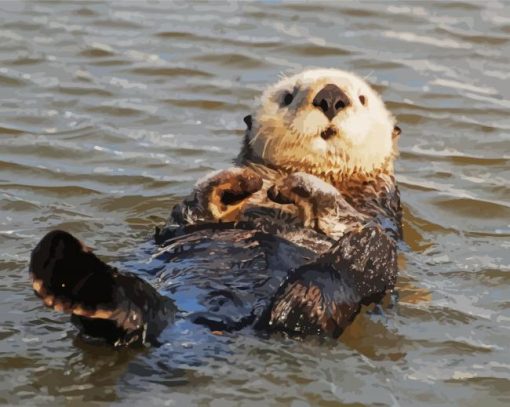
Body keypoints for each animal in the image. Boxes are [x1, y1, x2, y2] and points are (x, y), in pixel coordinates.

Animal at [28, 67, 402, 348]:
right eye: (288, 96)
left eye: (362, 99)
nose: (331, 97)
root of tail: (217, 321)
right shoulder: (188, 216)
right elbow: (195, 208)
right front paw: (241, 182)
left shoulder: (380, 209)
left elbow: (346, 216)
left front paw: (298, 184)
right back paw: (79, 280)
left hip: (352, 283)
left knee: (318, 297)